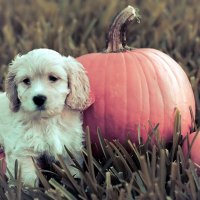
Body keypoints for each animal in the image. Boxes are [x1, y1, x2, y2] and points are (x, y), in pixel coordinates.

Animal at [0, 48, 92, 186]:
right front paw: (28, 190)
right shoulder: (22, 151)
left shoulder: (70, 147)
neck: (47, 120)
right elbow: (27, 178)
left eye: (53, 78)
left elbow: (74, 171)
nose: (38, 99)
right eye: (26, 81)